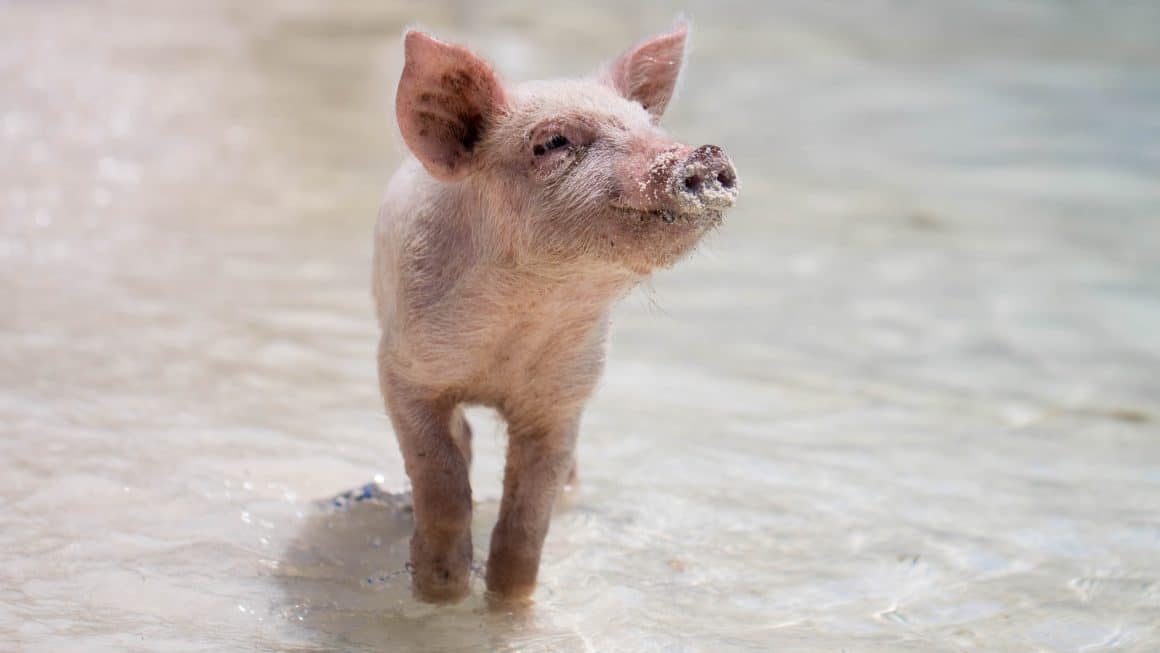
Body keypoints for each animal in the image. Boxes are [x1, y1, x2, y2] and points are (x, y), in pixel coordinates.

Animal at [375, 21, 737, 603]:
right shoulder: (403, 369)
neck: (523, 319)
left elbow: (529, 515)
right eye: (552, 143)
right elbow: (442, 477)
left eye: (648, 125)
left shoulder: (564, 397)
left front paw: (508, 601)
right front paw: (441, 591)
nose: (703, 155)